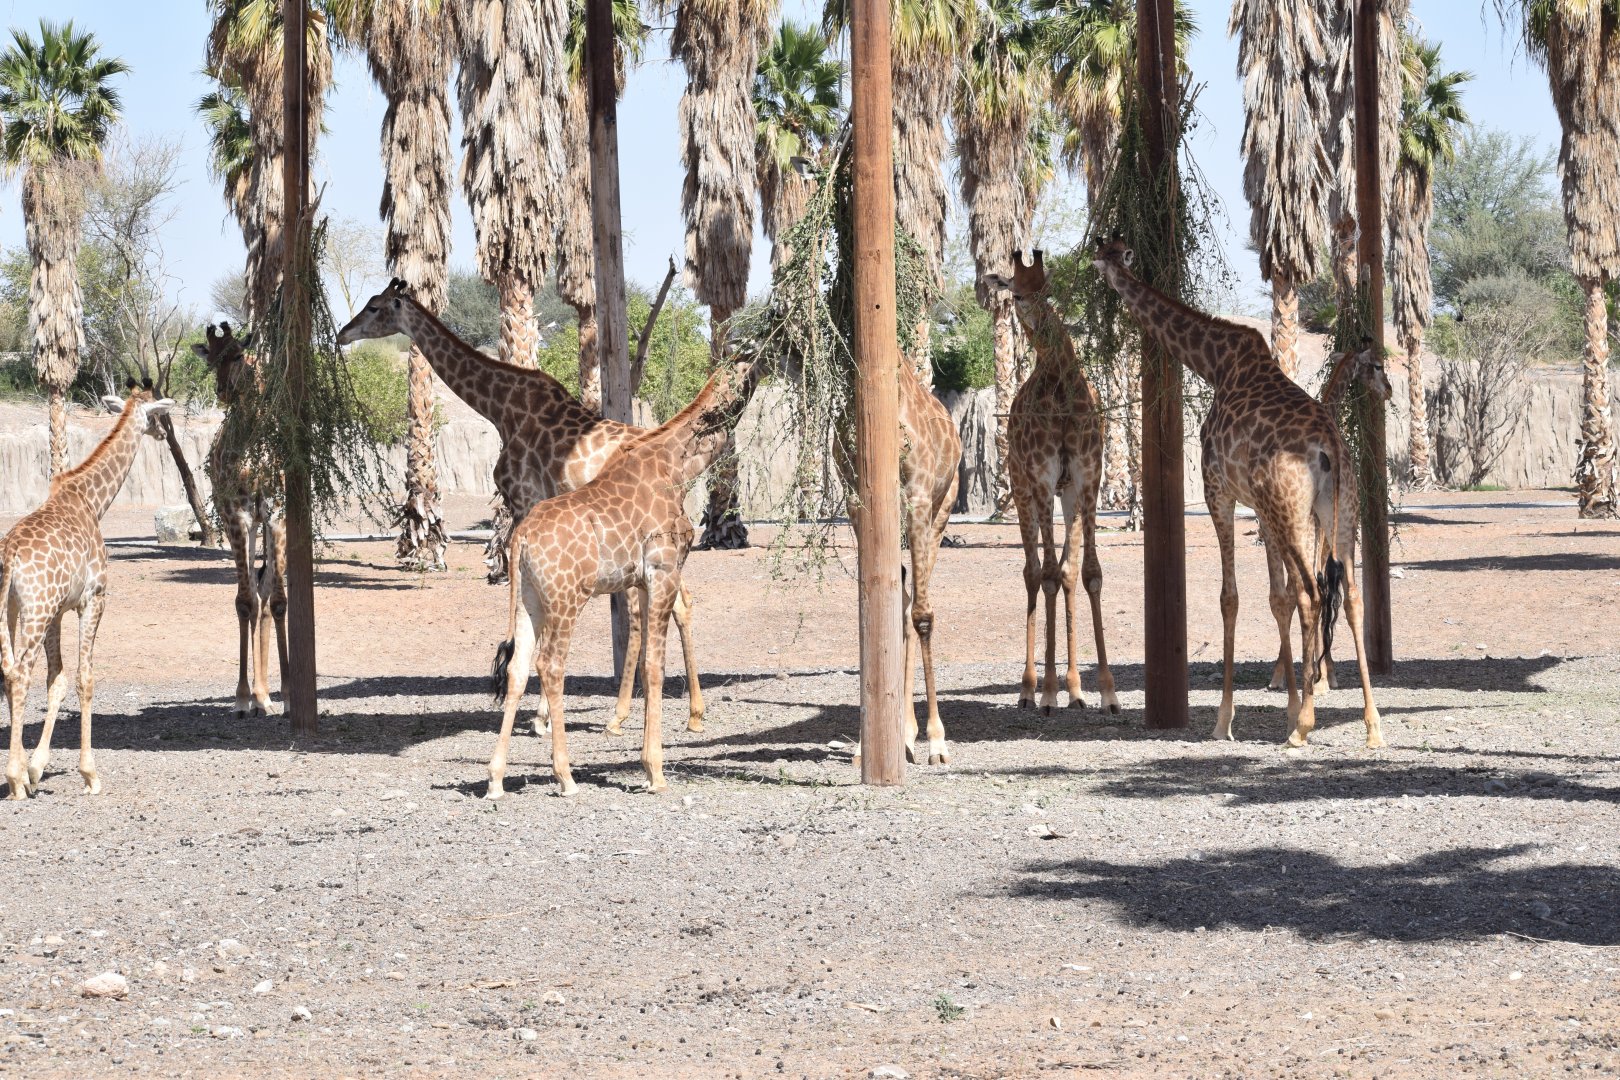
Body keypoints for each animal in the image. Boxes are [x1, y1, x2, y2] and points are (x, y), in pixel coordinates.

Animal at [2, 383, 175, 799]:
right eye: (159, 413)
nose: (164, 434)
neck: (92, 502)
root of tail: (9, 555)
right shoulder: (92, 599)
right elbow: (85, 678)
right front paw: (89, 774)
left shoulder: (58, 612)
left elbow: (58, 681)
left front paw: (37, 768)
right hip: (36, 610)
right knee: (19, 674)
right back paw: (13, 779)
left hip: (13, 610)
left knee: (8, 671)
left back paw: (18, 776)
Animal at [337, 281, 704, 733]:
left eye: (374, 307)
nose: (342, 334)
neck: (501, 407)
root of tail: (681, 468)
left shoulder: (527, 501)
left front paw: (540, 716)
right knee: (679, 605)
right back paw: (685, 714)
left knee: (657, 609)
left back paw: (639, 713)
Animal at [486, 351, 766, 798]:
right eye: (748, 365)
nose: (772, 357)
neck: (678, 467)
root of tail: (521, 539)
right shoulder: (664, 568)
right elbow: (655, 664)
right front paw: (655, 771)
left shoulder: (642, 580)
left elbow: (649, 660)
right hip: (567, 598)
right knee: (550, 664)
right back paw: (565, 777)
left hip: (529, 597)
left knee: (517, 668)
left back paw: (496, 778)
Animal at [984, 250, 1119, 717]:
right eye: (1017, 294)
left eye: (1048, 290)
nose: (1044, 330)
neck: (1061, 390)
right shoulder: (1042, 481)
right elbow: (1045, 575)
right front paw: (1045, 691)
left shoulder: (1086, 479)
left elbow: (1086, 573)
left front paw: (1106, 692)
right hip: (1022, 490)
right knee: (1031, 572)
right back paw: (1030, 689)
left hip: (1064, 495)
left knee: (1064, 572)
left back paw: (1074, 689)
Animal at [1092, 239, 1385, 749]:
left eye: (1103, 252)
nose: (1099, 271)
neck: (1214, 364)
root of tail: (1330, 447)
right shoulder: (1262, 509)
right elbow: (1277, 598)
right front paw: (1287, 704)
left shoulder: (1219, 491)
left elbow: (1231, 597)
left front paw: (1225, 719)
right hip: (1339, 510)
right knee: (1348, 594)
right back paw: (1371, 726)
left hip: (1294, 512)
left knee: (1313, 591)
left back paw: (1306, 726)